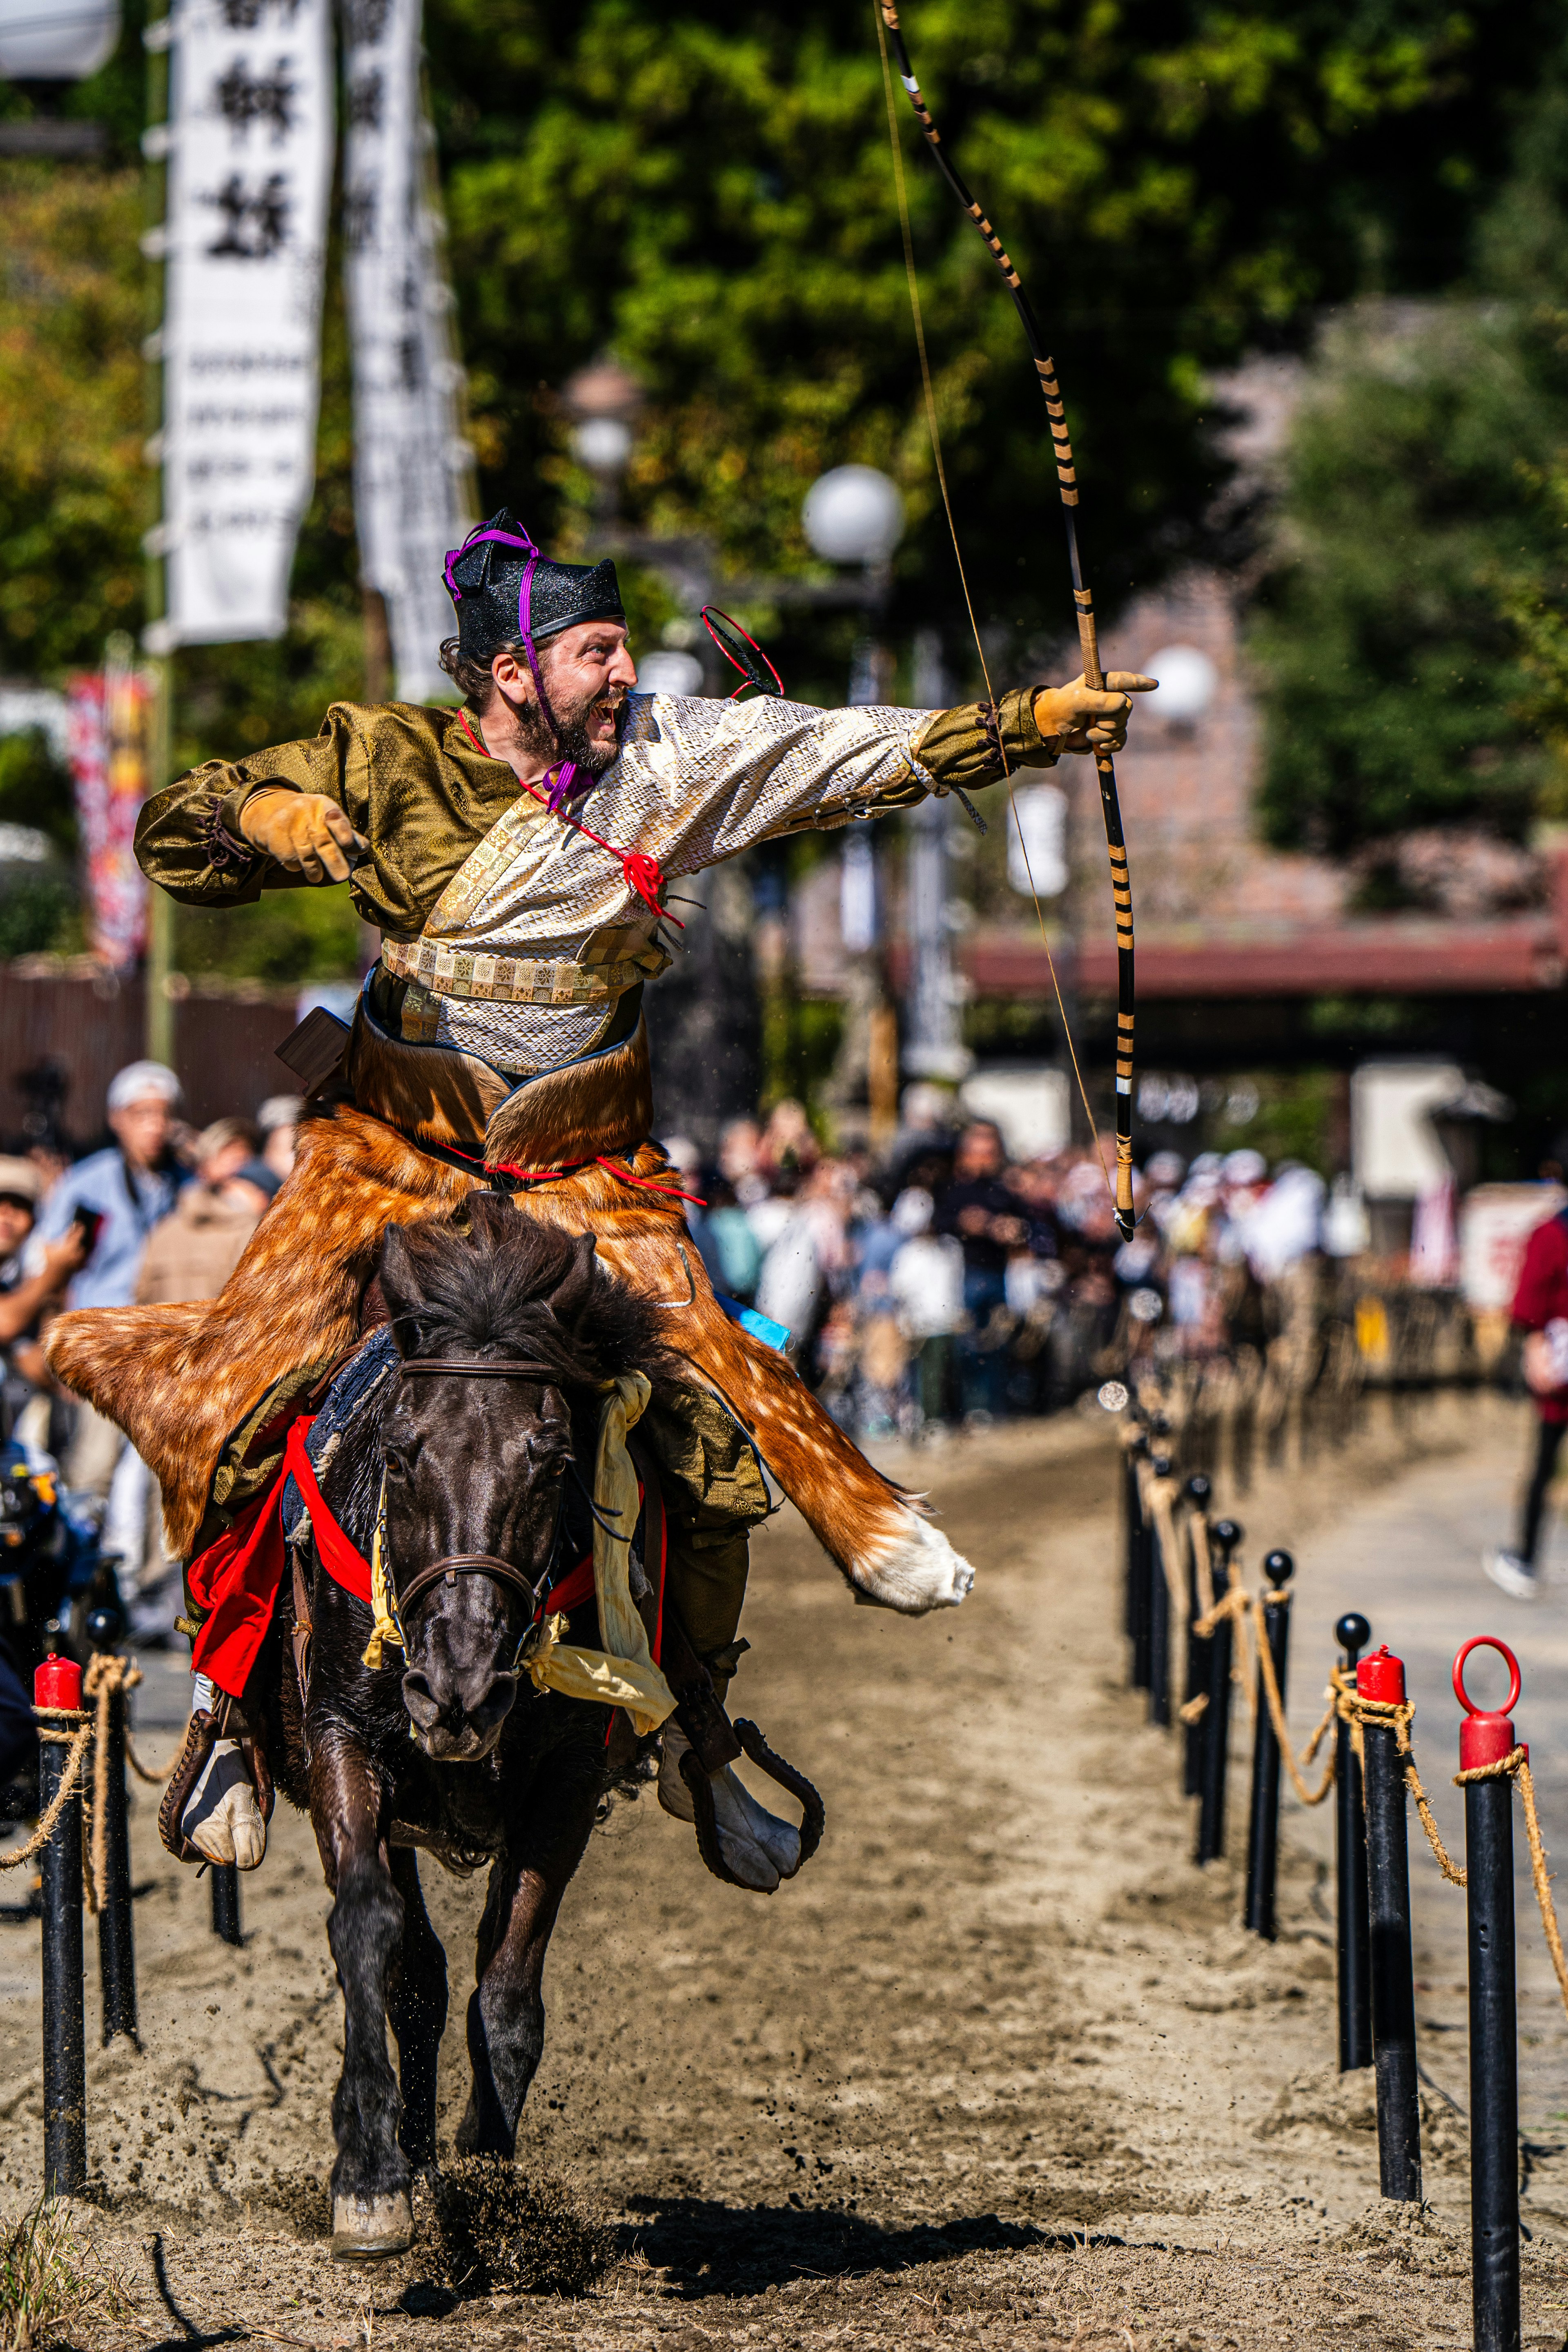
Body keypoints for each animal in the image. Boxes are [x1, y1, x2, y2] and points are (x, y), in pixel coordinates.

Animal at [262, 1195, 682, 2258]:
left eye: (554, 1462)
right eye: (401, 1452)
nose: (457, 1688)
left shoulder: (566, 1779)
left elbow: (510, 1987)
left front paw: (489, 2183)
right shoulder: (343, 1734)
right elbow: (368, 1930)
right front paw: (371, 2178)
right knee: (412, 1966)